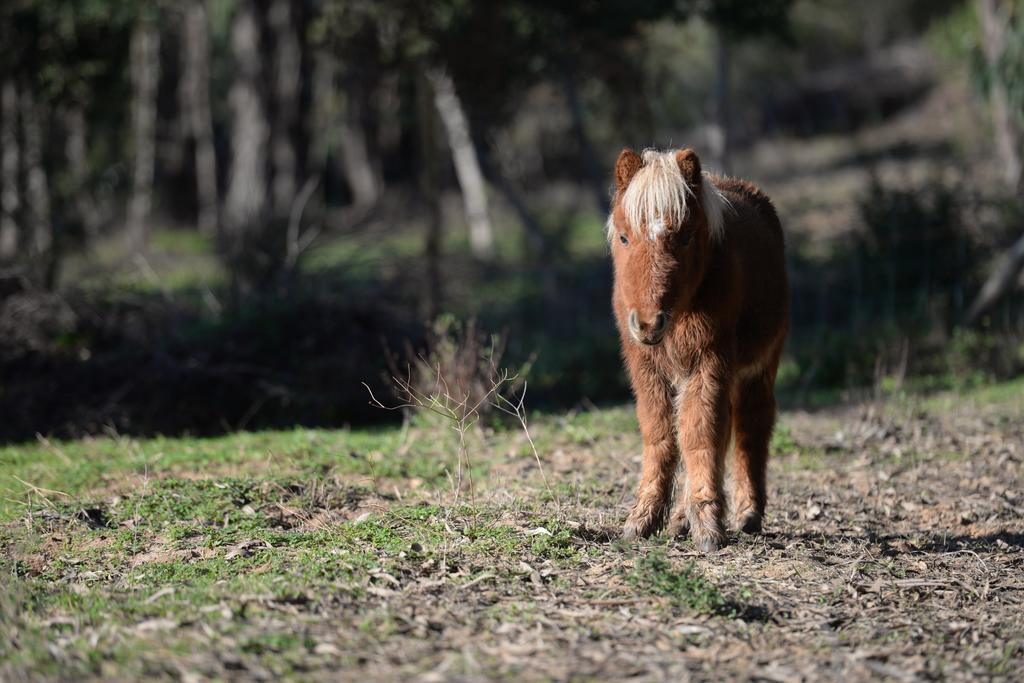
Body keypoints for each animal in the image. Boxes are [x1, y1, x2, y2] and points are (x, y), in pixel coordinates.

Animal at [606, 147, 790, 552]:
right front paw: (643, 519)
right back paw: (680, 519)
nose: (648, 324)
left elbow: (699, 434)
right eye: (624, 237)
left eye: (687, 237)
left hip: (759, 367)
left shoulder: (709, 362)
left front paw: (707, 525)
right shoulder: (646, 369)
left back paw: (747, 514)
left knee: (751, 425)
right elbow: (661, 433)